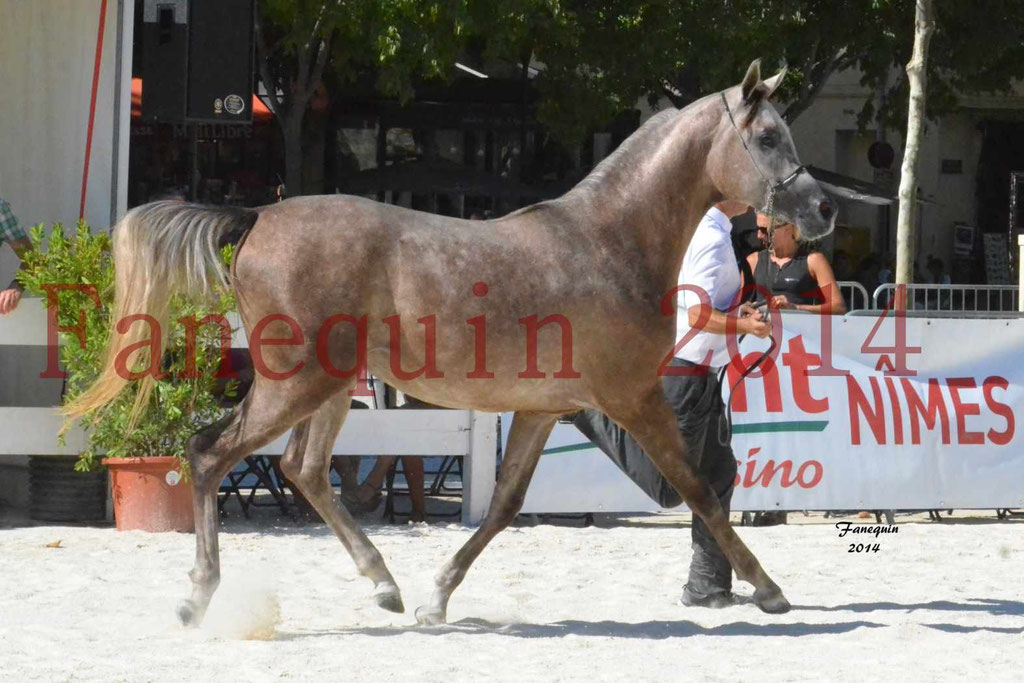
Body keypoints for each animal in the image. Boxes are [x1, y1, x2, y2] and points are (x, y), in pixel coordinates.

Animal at [68, 61, 839, 626]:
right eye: (767, 138)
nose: (824, 208)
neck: (610, 242)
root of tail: (256, 217)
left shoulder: (542, 409)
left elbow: (504, 505)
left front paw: (438, 596)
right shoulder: (635, 397)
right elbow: (701, 490)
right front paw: (769, 588)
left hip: (326, 389)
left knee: (303, 470)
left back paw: (386, 585)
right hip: (295, 383)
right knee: (210, 454)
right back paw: (199, 596)